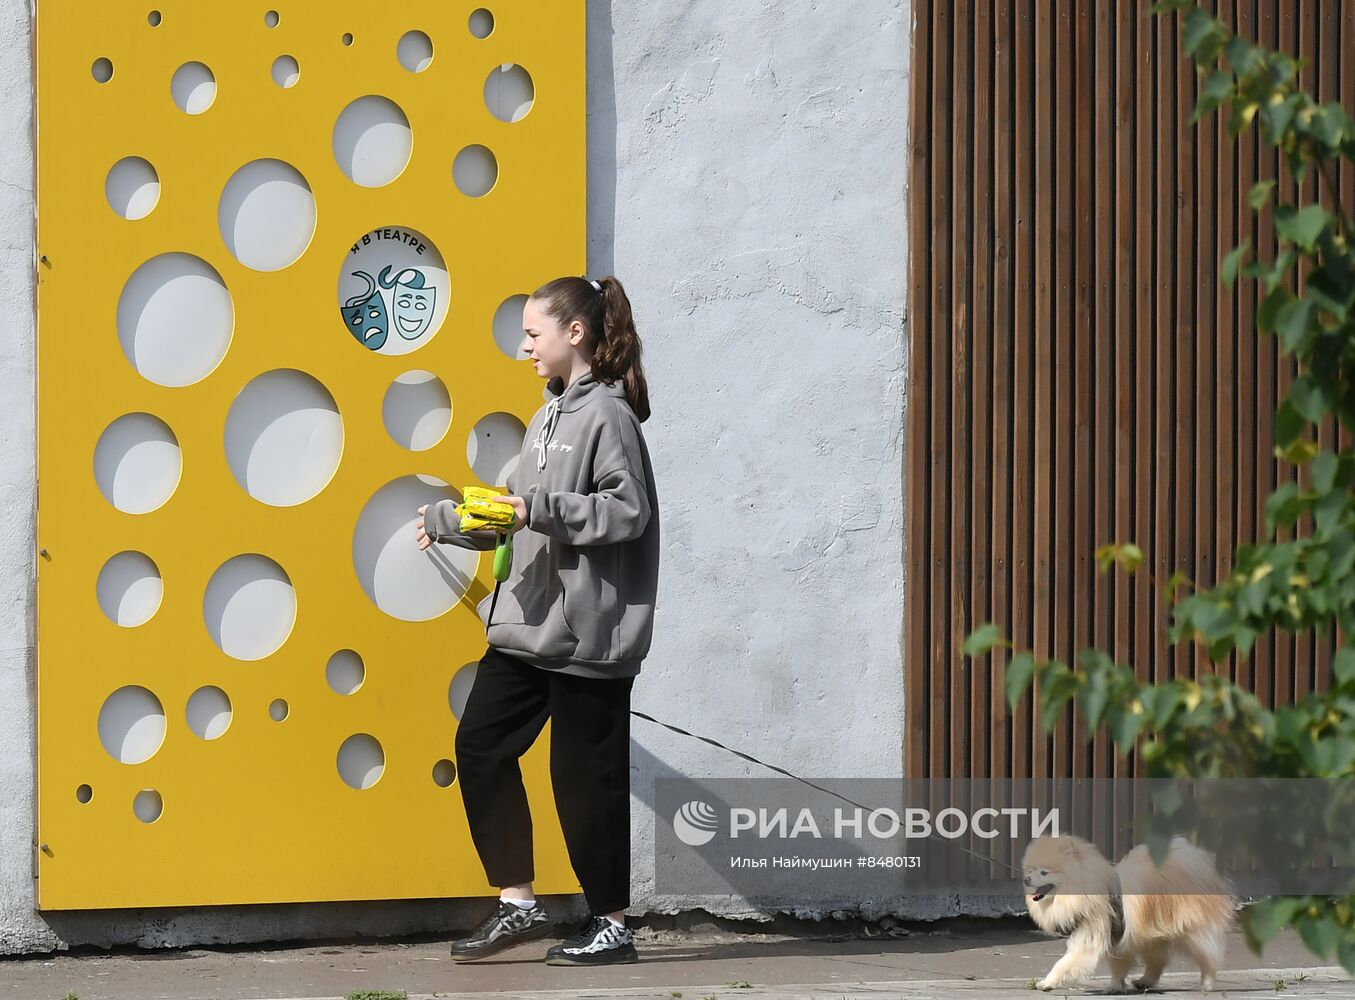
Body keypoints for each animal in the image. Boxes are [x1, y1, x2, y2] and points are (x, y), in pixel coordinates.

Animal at [1018, 829, 1235, 986]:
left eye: (1044, 872)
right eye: (1029, 870)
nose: (1026, 879)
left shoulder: (1091, 934)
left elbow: (1065, 963)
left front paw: (1047, 983)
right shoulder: (1119, 940)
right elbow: (1119, 966)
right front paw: (1114, 986)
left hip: (1192, 931)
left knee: (1208, 956)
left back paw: (1207, 983)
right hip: (1153, 935)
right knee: (1158, 960)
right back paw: (1145, 981)